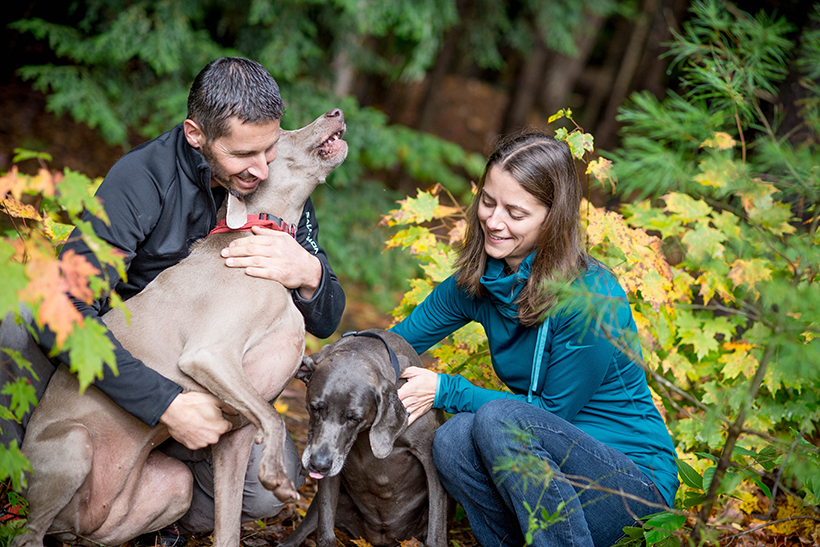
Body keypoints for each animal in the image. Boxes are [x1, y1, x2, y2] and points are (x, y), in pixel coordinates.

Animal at [11, 108, 348, 547]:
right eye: (282, 136)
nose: (336, 112)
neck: (260, 231)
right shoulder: (210, 355)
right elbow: (273, 419)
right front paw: (276, 476)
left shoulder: (235, 438)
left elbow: (227, 530)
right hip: (73, 446)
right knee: (29, 532)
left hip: (171, 486)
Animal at [280, 330, 448, 547]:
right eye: (316, 408)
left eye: (354, 418)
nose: (319, 464)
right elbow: (325, 532)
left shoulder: (429, 459)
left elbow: (436, 533)